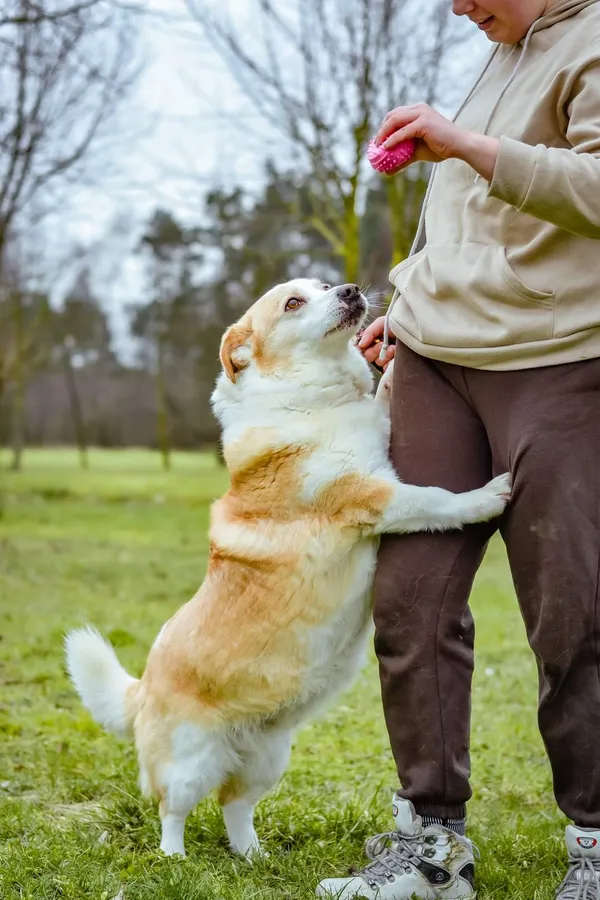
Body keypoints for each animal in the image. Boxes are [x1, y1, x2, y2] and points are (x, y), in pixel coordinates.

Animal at [65, 280, 508, 856]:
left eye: (322, 286)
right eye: (293, 303)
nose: (350, 289)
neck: (313, 399)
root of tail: (141, 689)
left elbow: (384, 399)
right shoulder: (376, 497)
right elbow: (435, 499)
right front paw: (487, 497)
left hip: (267, 759)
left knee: (234, 806)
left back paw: (252, 856)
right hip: (189, 764)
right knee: (172, 809)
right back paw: (174, 858)